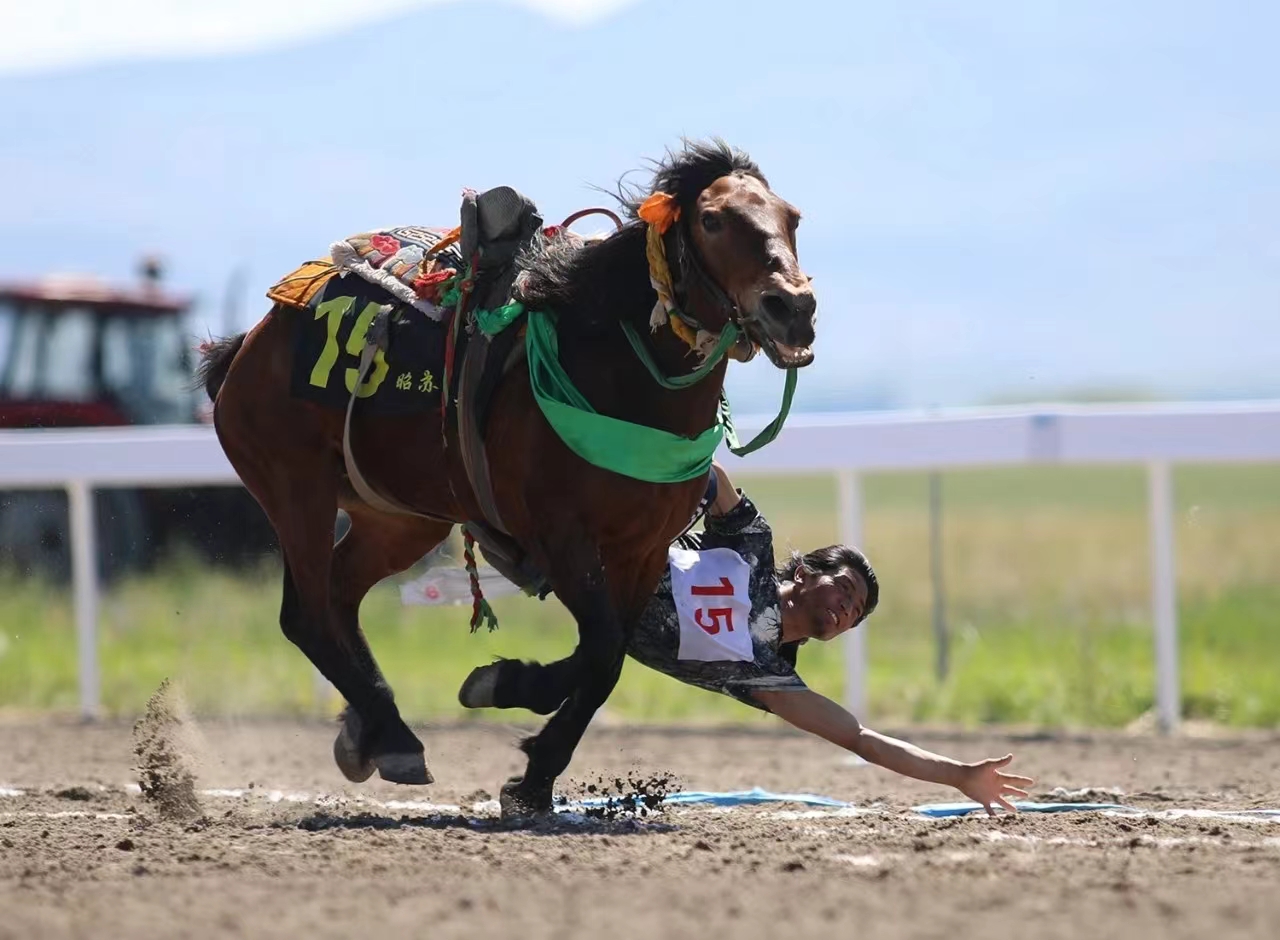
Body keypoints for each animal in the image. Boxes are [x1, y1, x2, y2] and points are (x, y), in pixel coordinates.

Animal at [199, 139, 819, 819]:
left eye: (792, 217)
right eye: (711, 220)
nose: (793, 306)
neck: (618, 376)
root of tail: (250, 341)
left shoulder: (644, 548)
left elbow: (604, 655)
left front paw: (519, 720)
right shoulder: (560, 536)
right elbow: (603, 650)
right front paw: (529, 757)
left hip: (400, 518)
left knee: (339, 596)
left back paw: (374, 731)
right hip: (296, 489)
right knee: (306, 616)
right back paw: (393, 735)